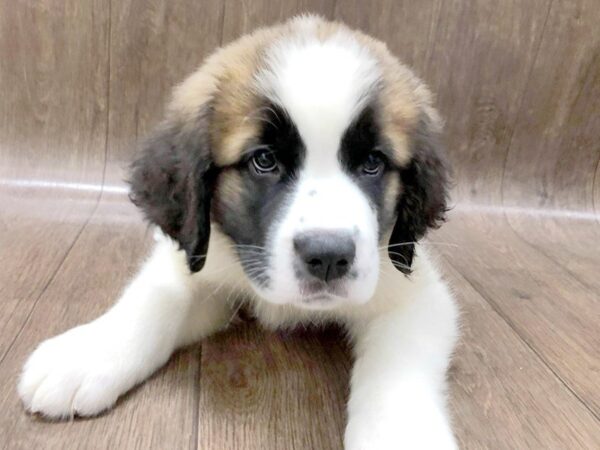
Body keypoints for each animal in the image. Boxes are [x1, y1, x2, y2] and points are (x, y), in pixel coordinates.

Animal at [19, 14, 460, 450]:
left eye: (372, 163)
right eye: (264, 161)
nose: (328, 256)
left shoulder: (412, 292)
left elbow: (398, 366)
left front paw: (400, 434)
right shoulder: (207, 260)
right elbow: (158, 297)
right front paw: (88, 352)